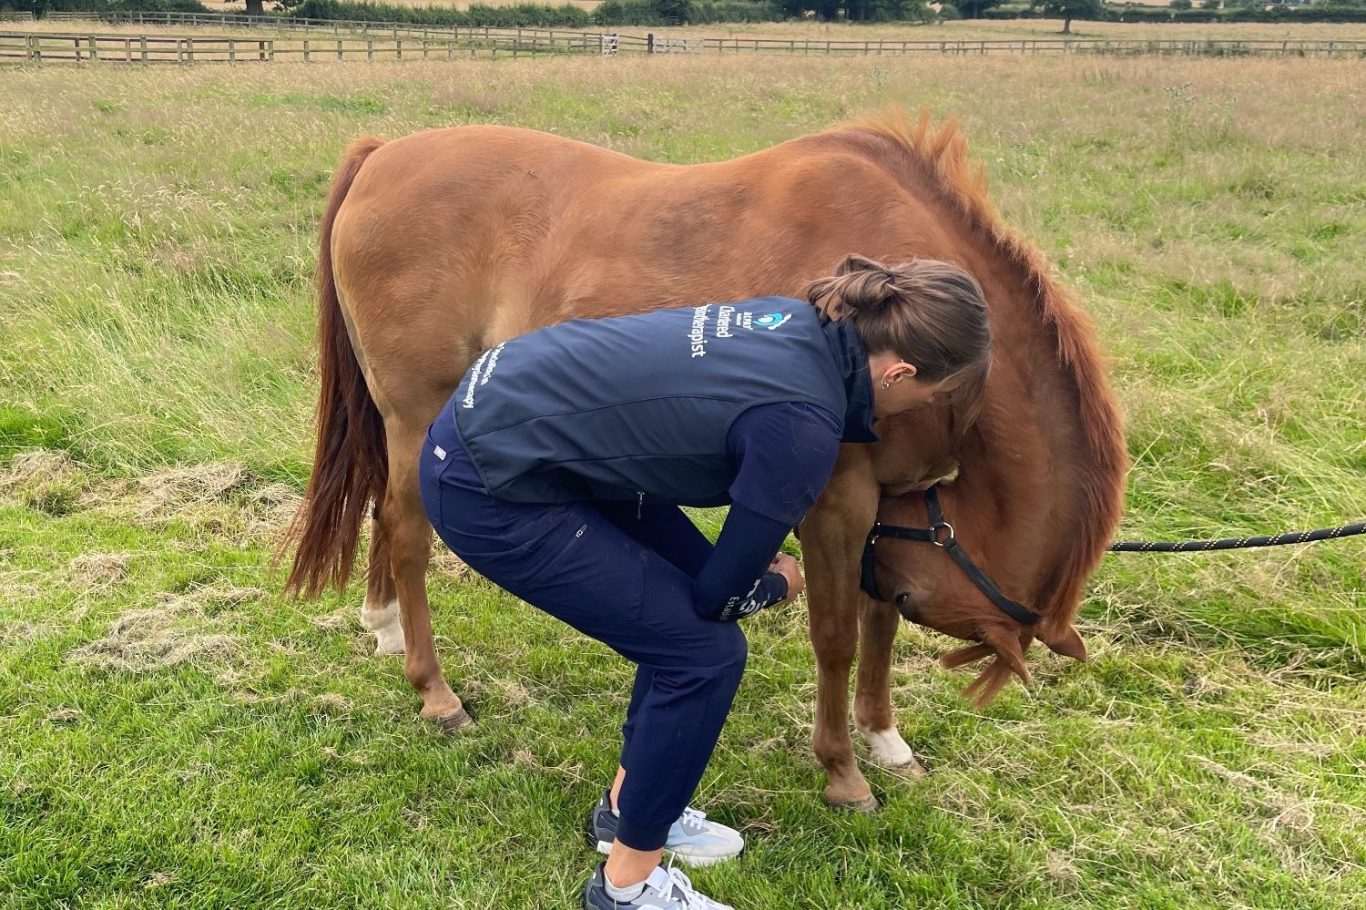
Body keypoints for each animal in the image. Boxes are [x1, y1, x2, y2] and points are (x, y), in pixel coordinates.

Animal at [284, 110, 1127, 810]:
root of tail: (383, 156)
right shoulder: (836, 502)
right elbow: (837, 635)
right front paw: (842, 770)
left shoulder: (893, 509)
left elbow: (877, 626)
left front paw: (886, 741)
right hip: (414, 413)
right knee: (406, 530)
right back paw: (435, 691)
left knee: (382, 512)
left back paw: (385, 625)